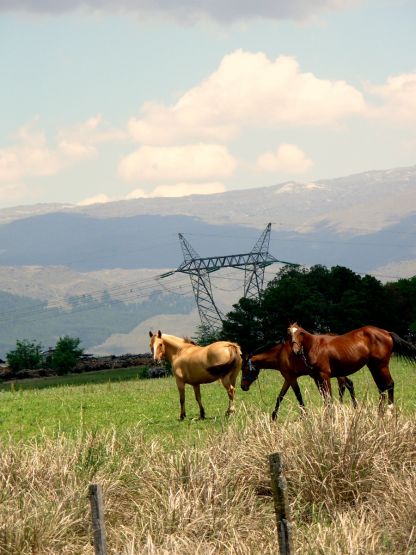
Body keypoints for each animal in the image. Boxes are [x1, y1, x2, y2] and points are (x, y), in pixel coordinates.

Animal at [288, 322, 416, 412]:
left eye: (300, 333)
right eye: (289, 333)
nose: (295, 351)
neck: (316, 346)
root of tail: (387, 333)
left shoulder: (325, 376)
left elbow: (329, 398)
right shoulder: (317, 378)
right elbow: (325, 398)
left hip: (382, 365)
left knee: (389, 384)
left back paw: (389, 411)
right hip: (373, 367)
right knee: (381, 387)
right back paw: (380, 412)